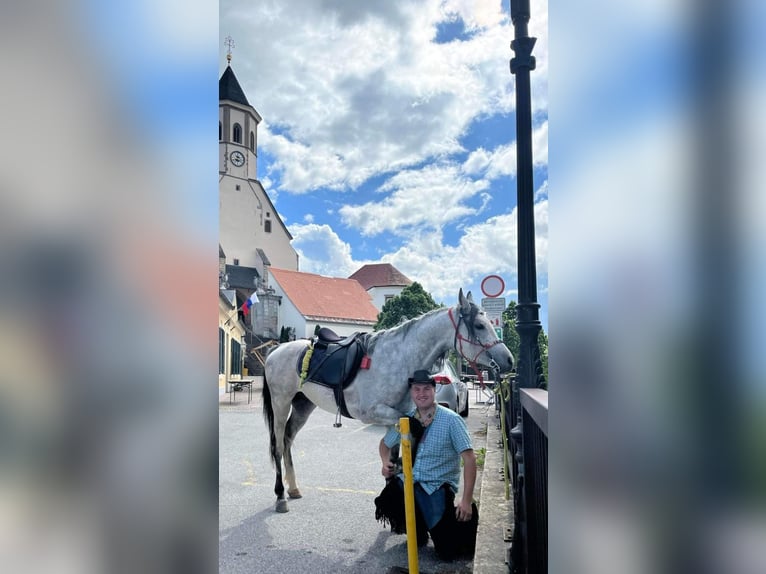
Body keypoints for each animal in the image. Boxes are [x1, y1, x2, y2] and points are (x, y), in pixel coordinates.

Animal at [260, 290, 512, 516]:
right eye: (479, 326)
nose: (508, 360)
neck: (398, 359)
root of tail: (277, 349)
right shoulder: (376, 413)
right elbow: (411, 432)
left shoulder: (397, 415)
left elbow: (394, 450)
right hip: (281, 403)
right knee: (278, 445)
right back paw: (280, 496)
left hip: (303, 406)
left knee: (288, 438)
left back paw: (293, 488)